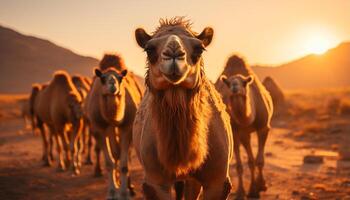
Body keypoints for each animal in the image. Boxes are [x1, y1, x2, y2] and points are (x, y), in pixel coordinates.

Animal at [85, 66, 142, 199]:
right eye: (102, 78)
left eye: (120, 78)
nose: (112, 85)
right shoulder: (99, 129)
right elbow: (109, 163)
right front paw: (112, 192)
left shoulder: (127, 127)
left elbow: (124, 164)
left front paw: (124, 193)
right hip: (109, 129)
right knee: (115, 153)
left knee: (123, 155)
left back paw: (130, 187)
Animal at [216, 54, 274, 198]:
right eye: (229, 83)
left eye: (244, 82)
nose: (235, 87)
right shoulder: (236, 132)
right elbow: (240, 165)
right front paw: (243, 191)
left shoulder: (263, 128)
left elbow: (260, 161)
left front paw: (261, 185)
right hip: (242, 134)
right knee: (248, 159)